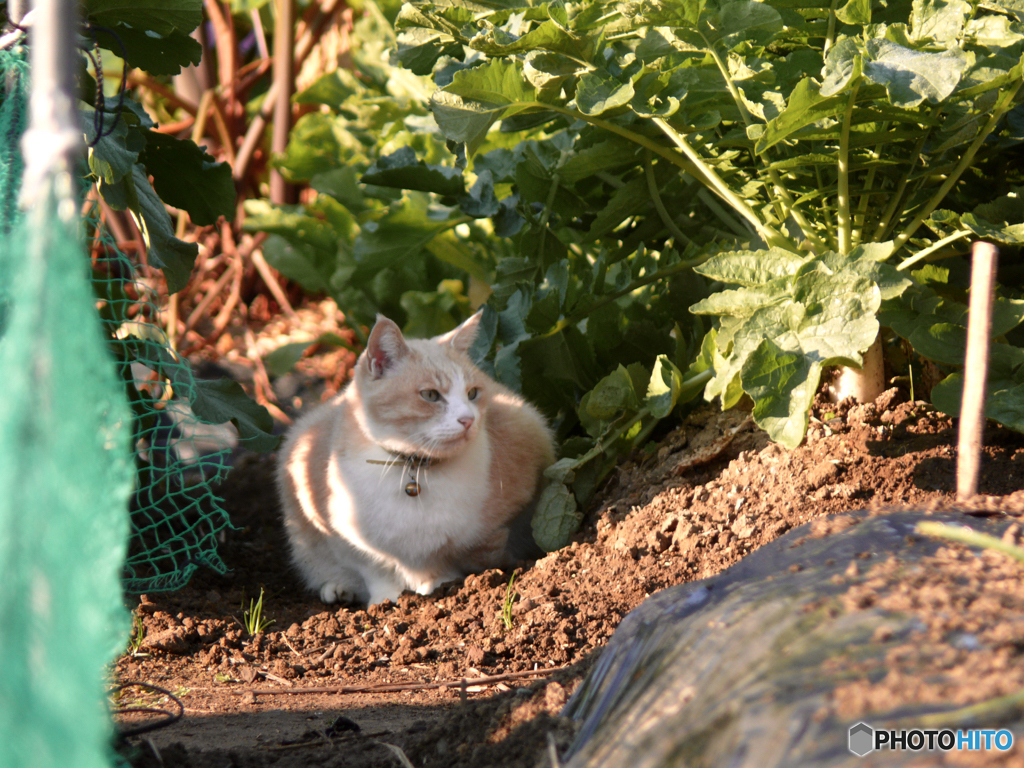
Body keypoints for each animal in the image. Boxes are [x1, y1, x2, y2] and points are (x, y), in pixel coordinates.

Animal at [276, 309, 557, 606]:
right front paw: (385, 600)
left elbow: (462, 556)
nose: (468, 420)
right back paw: (338, 589)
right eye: (430, 395)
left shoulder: (500, 520)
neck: (414, 466)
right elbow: (373, 568)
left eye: (472, 393)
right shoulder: (333, 529)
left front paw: (439, 585)